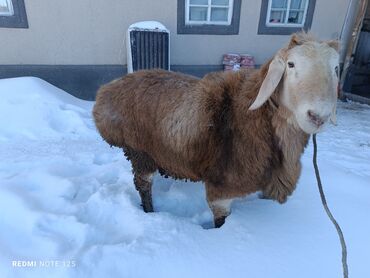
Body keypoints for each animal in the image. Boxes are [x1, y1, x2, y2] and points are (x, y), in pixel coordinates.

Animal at [92, 32, 338, 228]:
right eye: (291, 64)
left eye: (336, 68)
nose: (318, 116)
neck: (252, 115)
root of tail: (106, 90)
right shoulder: (223, 186)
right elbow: (221, 220)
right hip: (140, 152)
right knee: (143, 186)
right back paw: (150, 213)